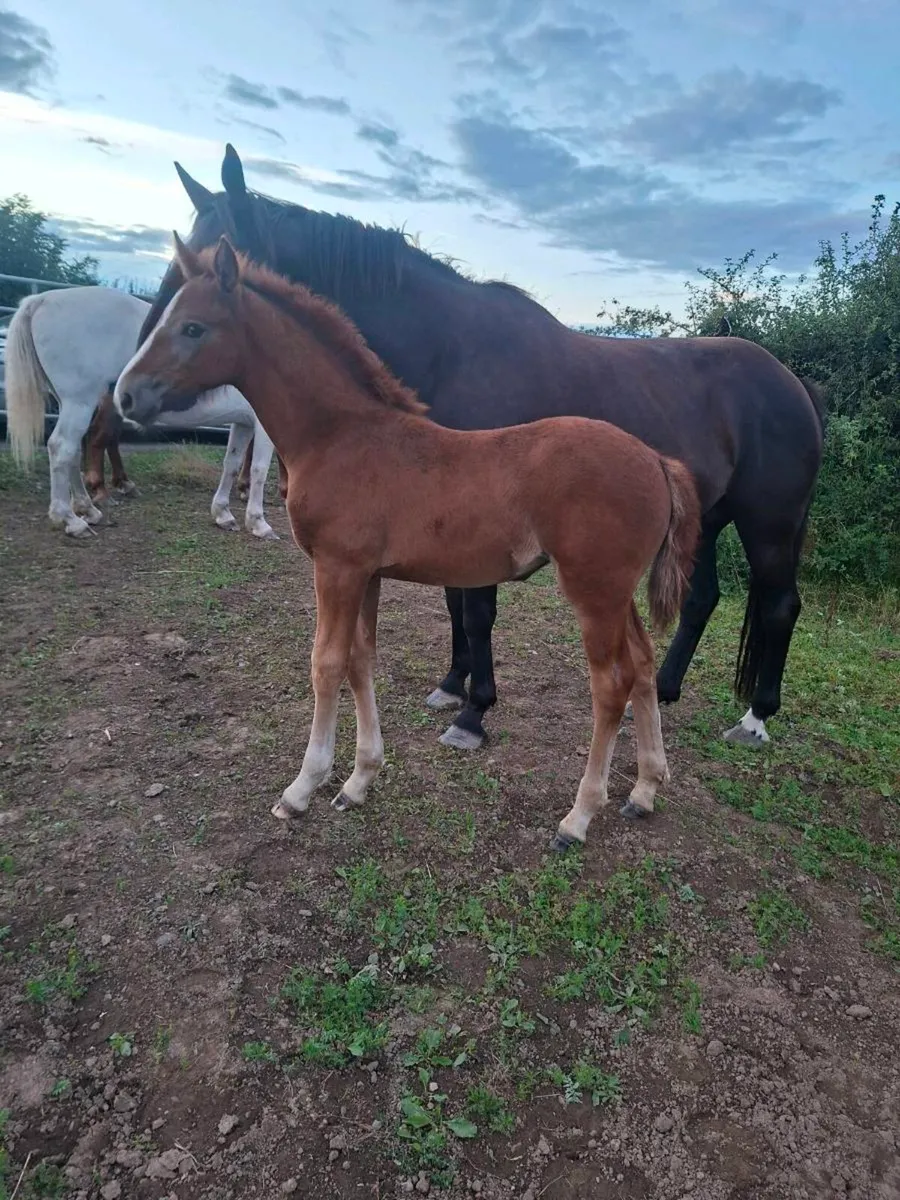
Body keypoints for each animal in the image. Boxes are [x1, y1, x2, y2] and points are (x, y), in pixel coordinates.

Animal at [4, 284, 278, 540]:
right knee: (61, 447)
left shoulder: (243, 423)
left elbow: (231, 463)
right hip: (79, 402)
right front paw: (259, 523)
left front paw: (223, 514)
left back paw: (88, 510)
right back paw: (71, 520)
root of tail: (41, 299)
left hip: (71, 404)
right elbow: (259, 469)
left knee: (72, 452)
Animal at [116, 236, 701, 849]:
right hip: (616, 593)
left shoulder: (337, 568)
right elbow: (360, 660)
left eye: (193, 327)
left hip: (593, 590)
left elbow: (326, 663)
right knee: (642, 664)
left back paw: (579, 816)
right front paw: (358, 780)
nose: (126, 396)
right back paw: (644, 789)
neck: (341, 434)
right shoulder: (366, 574)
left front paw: (302, 788)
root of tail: (657, 461)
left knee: (610, 686)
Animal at [136, 144, 824, 750]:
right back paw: (664, 691)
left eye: (214, 266)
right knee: (700, 599)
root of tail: (794, 384)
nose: (135, 384)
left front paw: (474, 713)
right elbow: (454, 601)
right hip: (707, 520)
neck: (449, 348)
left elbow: (477, 609)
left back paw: (756, 718)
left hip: (767, 523)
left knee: (781, 604)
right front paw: (451, 685)